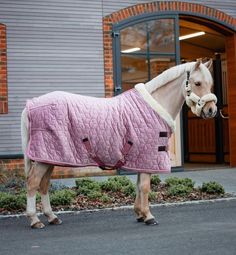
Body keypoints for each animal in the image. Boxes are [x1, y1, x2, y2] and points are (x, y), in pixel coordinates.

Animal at [21, 58, 217, 228]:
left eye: (210, 84)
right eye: (197, 83)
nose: (211, 110)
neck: (153, 106)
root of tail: (31, 104)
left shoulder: (141, 159)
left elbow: (138, 186)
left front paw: (139, 214)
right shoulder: (147, 157)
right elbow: (145, 187)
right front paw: (149, 216)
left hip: (49, 158)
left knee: (43, 185)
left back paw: (52, 217)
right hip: (43, 158)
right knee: (32, 183)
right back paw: (34, 220)